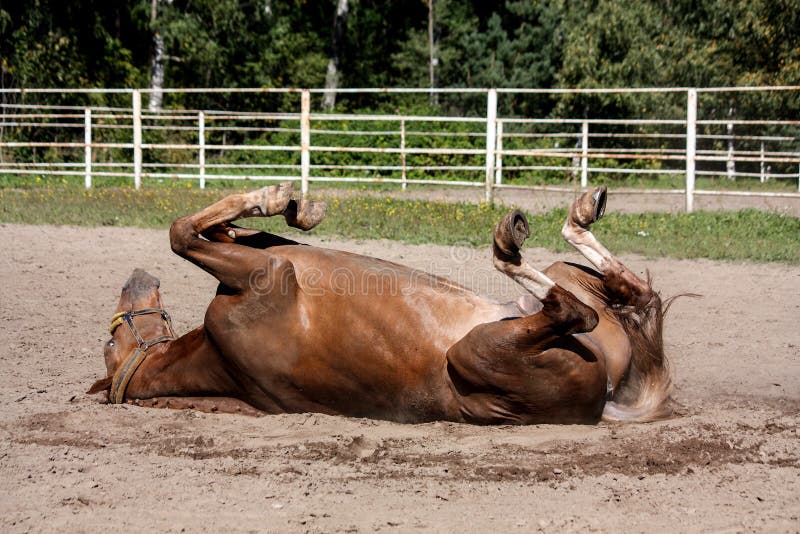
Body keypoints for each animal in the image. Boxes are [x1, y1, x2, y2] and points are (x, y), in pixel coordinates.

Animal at [87, 186, 676, 426]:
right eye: (111, 339)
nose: (136, 278)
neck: (219, 357)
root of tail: (604, 401)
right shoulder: (269, 275)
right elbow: (180, 231)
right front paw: (278, 195)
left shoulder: (265, 255)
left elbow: (212, 227)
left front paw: (292, 204)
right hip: (477, 350)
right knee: (576, 310)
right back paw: (511, 241)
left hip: (558, 298)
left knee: (623, 293)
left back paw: (578, 212)